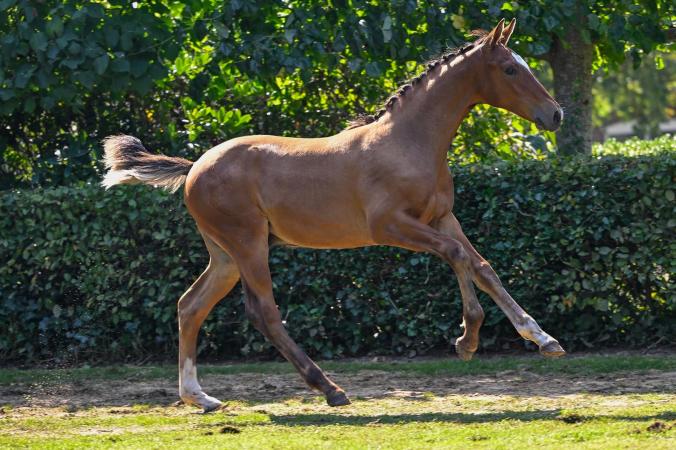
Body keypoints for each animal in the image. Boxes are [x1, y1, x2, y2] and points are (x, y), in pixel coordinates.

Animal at [100, 19, 564, 412]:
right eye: (510, 69)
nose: (555, 114)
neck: (408, 142)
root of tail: (194, 166)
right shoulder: (392, 226)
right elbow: (456, 255)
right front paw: (468, 339)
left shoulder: (442, 218)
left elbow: (482, 266)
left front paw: (542, 338)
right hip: (247, 245)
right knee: (263, 311)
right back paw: (330, 389)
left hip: (226, 255)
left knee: (190, 305)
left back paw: (201, 397)